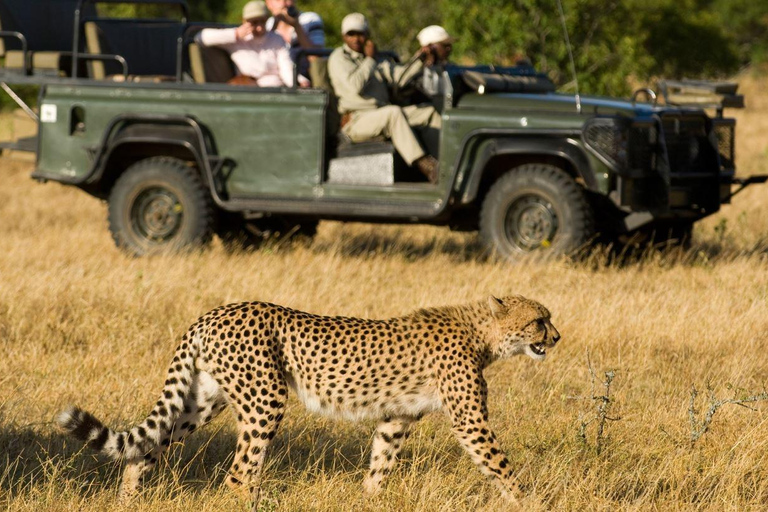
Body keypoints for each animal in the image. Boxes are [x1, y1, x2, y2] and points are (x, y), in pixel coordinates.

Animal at [54, 294, 560, 506]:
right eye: (539, 320)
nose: (556, 337)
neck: (483, 332)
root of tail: (215, 311)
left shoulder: (396, 417)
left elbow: (381, 460)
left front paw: (370, 499)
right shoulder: (470, 421)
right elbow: (500, 465)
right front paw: (532, 502)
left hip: (203, 400)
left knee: (147, 446)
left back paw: (128, 498)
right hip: (265, 398)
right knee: (239, 474)